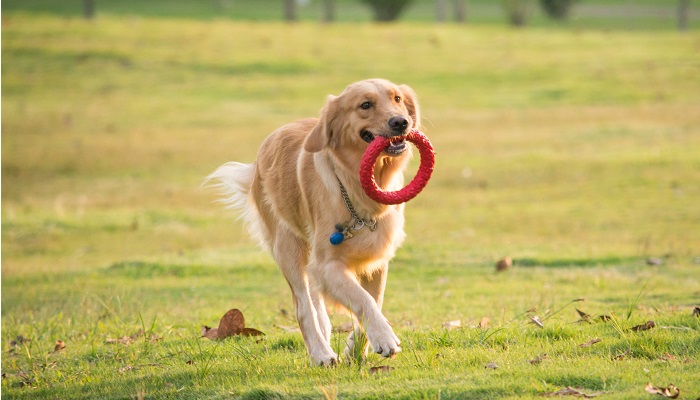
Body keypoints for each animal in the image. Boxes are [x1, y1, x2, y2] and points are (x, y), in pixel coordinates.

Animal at [208, 78, 422, 366]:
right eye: (365, 105)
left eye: (397, 99)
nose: (401, 122)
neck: (356, 187)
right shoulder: (327, 264)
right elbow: (362, 299)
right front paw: (384, 337)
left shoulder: (376, 259)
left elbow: (374, 299)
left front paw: (356, 349)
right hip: (288, 248)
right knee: (303, 307)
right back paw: (320, 352)